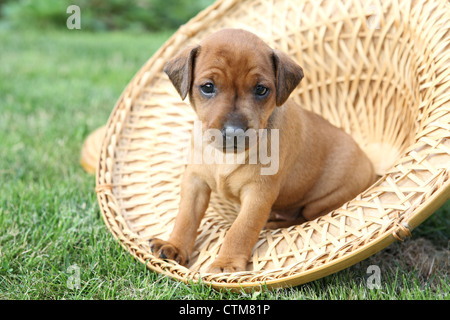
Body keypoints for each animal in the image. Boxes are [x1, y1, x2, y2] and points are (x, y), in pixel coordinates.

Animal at [149, 29, 374, 272]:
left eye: (261, 89)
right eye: (207, 87)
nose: (234, 132)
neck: (225, 156)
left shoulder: (258, 192)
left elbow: (241, 229)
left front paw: (226, 263)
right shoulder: (195, 180)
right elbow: (186, 216)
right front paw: (174, 246)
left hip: (324, 200)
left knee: (302, 217)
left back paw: (272, 223)